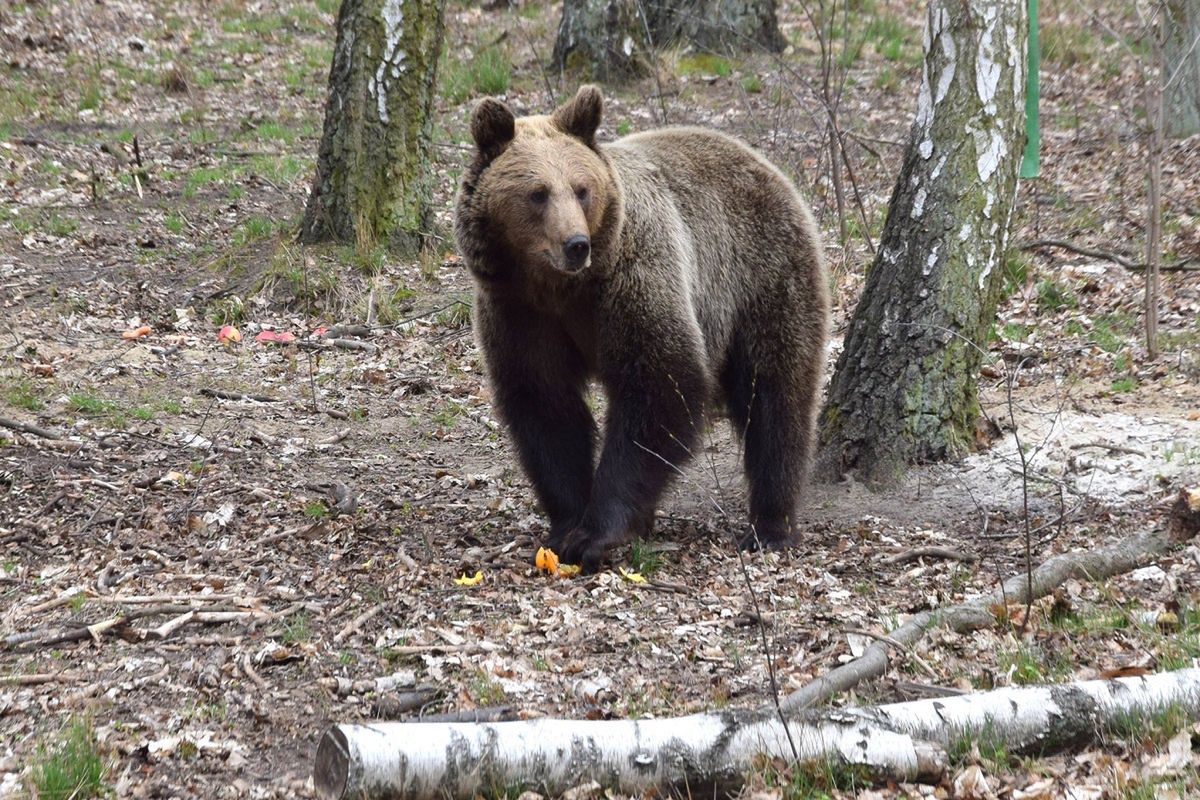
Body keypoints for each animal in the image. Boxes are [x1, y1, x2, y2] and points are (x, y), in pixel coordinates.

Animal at [453, 87, 830, 573]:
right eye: (537, 193)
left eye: (582, 189)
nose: (576, 245)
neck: (562, 288)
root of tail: (763, 161)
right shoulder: (519, 312)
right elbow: (545, 404)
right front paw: (567, 525)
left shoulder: (633, 278)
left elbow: (660, 385)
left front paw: (596, 533)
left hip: (763, 277)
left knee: (776, 397)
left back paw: (770, 526)